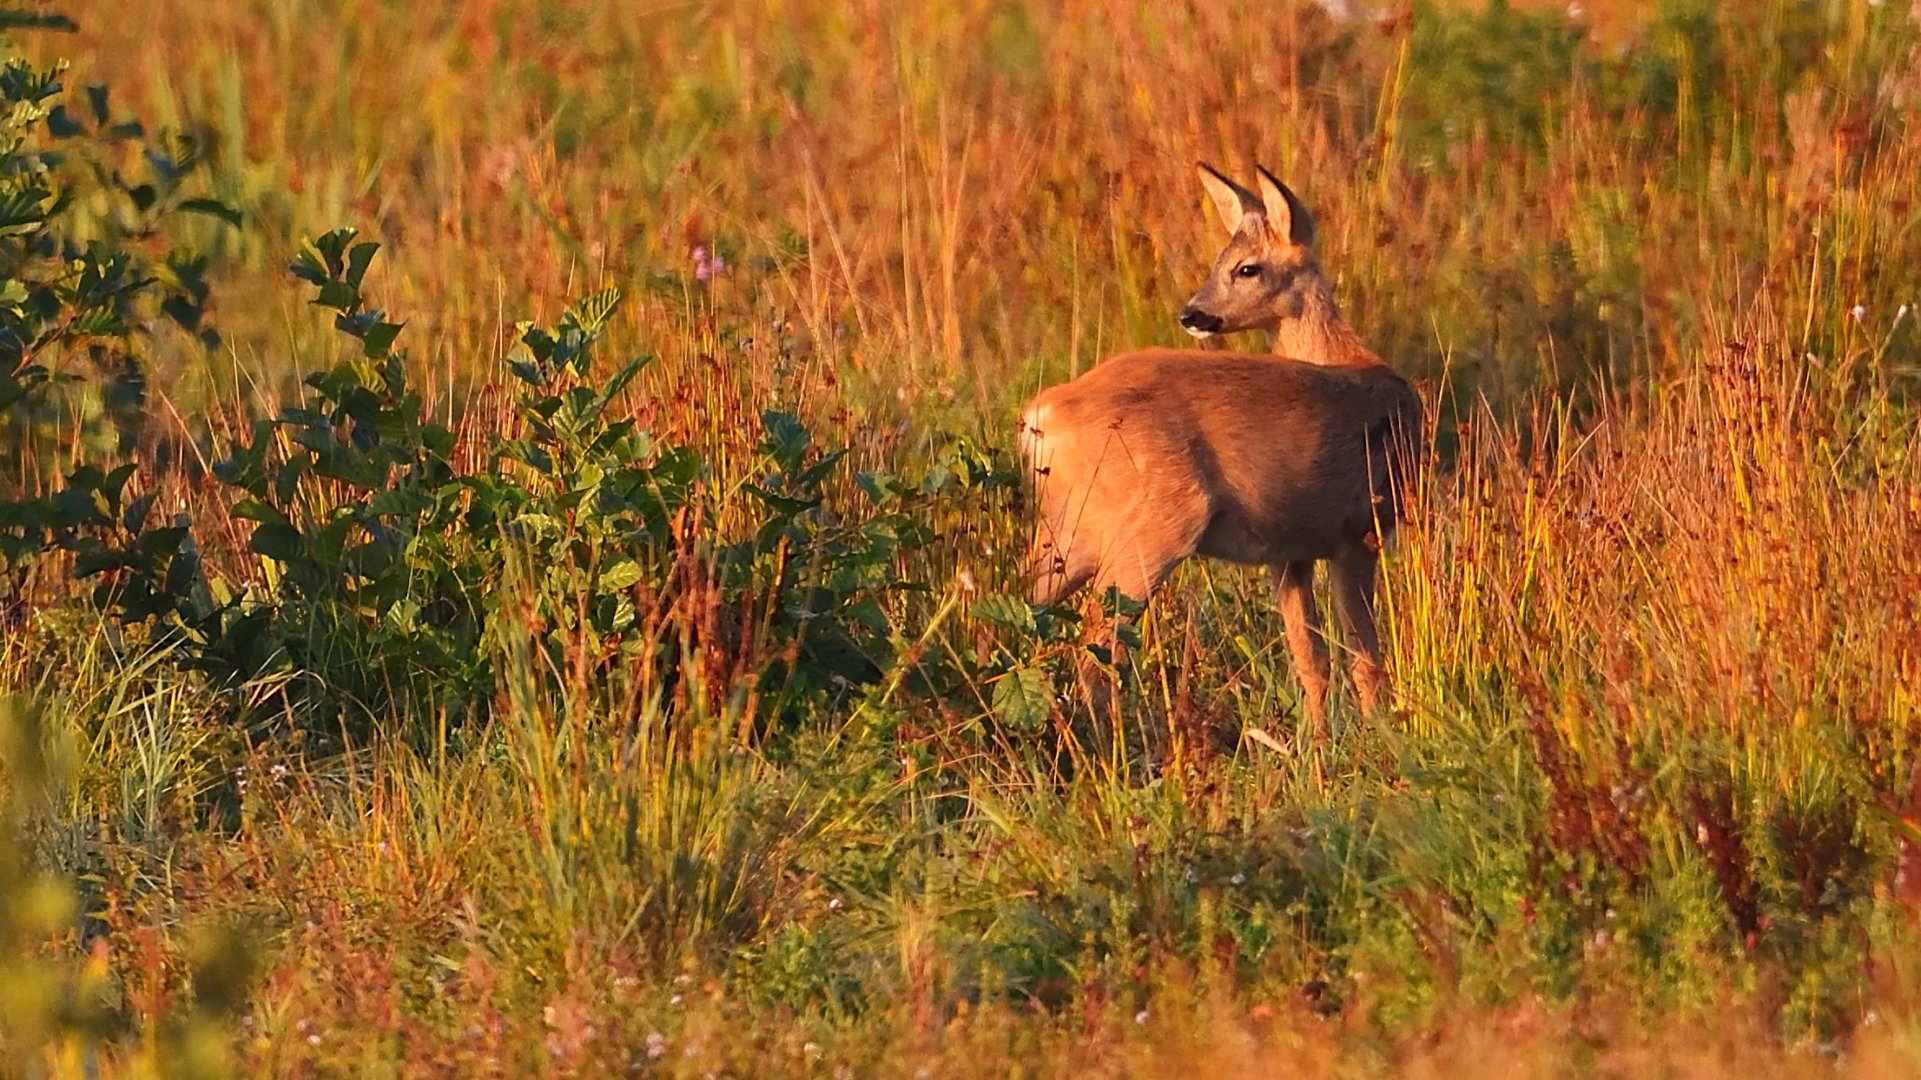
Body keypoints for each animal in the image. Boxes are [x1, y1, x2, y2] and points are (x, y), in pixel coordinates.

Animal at [1021, 161, 1429, 730]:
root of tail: (1043, 417)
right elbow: (1365, 658)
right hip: (1152, 527)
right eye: (1227, 262)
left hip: (1063, 533)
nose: (1192, 314)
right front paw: (1379, 738)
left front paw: (1320, 743)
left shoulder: (1291, 550)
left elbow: (1311, 662)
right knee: (1094, 646)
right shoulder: (1359, 529)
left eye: (1246, 267)